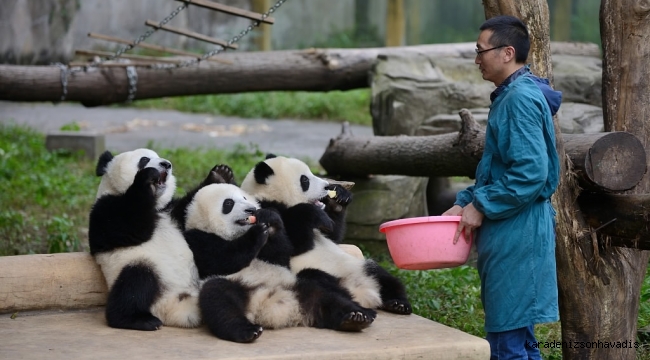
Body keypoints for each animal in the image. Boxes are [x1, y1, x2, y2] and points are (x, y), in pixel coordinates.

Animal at [88, 149, 200, 332]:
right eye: (144, 159)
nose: (166, 164)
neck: (155, 206)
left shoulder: (172, 211)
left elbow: (189, 208)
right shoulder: (105, 210)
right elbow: (132, 224)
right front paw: (147, 176)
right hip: (143, 268)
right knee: (136, 283)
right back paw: (139, 320)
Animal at [182, 183, 374, 344]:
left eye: (244, 198)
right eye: (228, 203)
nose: (251, 210)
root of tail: (276, 308)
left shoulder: (278, 259)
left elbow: (281, 255)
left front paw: (269, 219)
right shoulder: (196, 240)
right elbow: (220, 260)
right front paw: (257, 233)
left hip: (298, 286)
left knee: (327, 297)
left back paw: (356, 317)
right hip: (237, 287)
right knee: (219, 300)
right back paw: (247, 331)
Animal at [238, 155, 410, 316]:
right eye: (305, 180)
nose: (327, 186)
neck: (272, 196)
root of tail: (364, 292)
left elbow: (333, 234)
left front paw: (339, 198)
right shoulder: (262, 211)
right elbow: (288, 250)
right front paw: (312, 213)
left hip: (358, 266)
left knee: (383, 276)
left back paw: (398, 303)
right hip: (310, 274)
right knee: (320, 284)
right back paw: (355, 310)